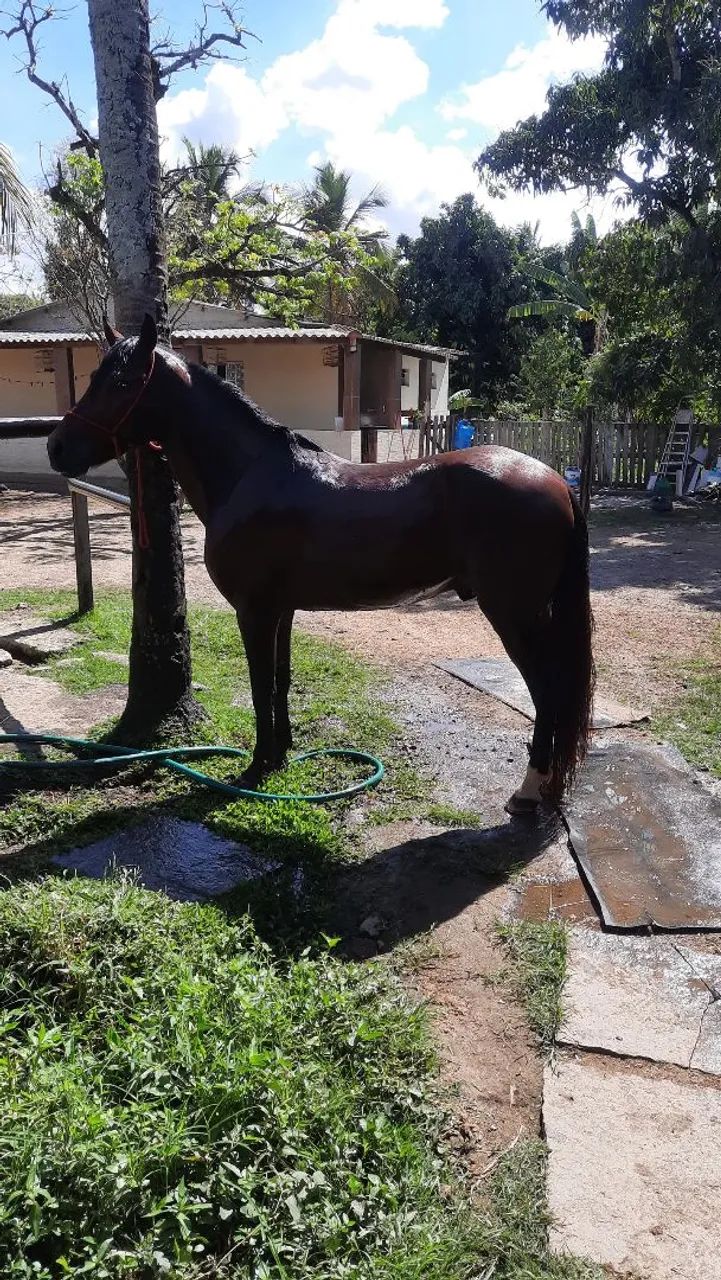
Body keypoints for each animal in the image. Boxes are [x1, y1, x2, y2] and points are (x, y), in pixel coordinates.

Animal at [47, 315, 595, 814]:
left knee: (547, 692)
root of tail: (553, 480)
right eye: (93, 376)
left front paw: (257, 766)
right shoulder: (282, 610)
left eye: (120, 382)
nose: (57, 447)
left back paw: (528, 791)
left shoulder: (254, 612)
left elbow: (260, 684)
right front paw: (282, 754)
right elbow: (281, 678)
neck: (248, 475)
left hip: (515, 617)